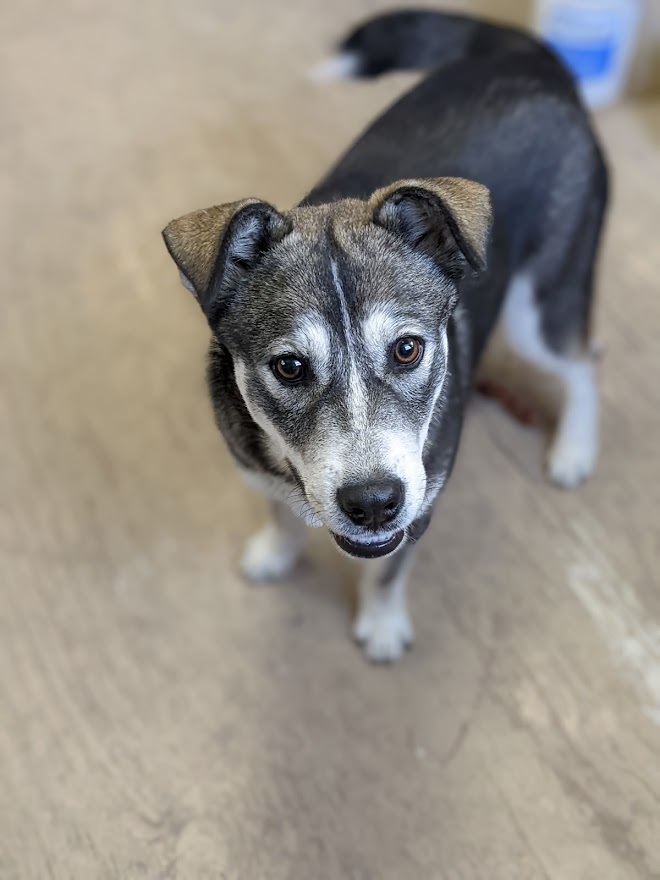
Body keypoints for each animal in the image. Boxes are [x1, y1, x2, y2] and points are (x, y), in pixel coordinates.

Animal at [162, 10, 604, 660]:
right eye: (289, 366)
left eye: (407, 349)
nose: (373, 504)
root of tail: (528, 61)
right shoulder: (259, 470)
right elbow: (279, 514)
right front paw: (275, 554)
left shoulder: (419, 506)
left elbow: (388, 570)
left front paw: (382, 623)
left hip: (541, 303)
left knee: (584, 360)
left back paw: (574, 448)